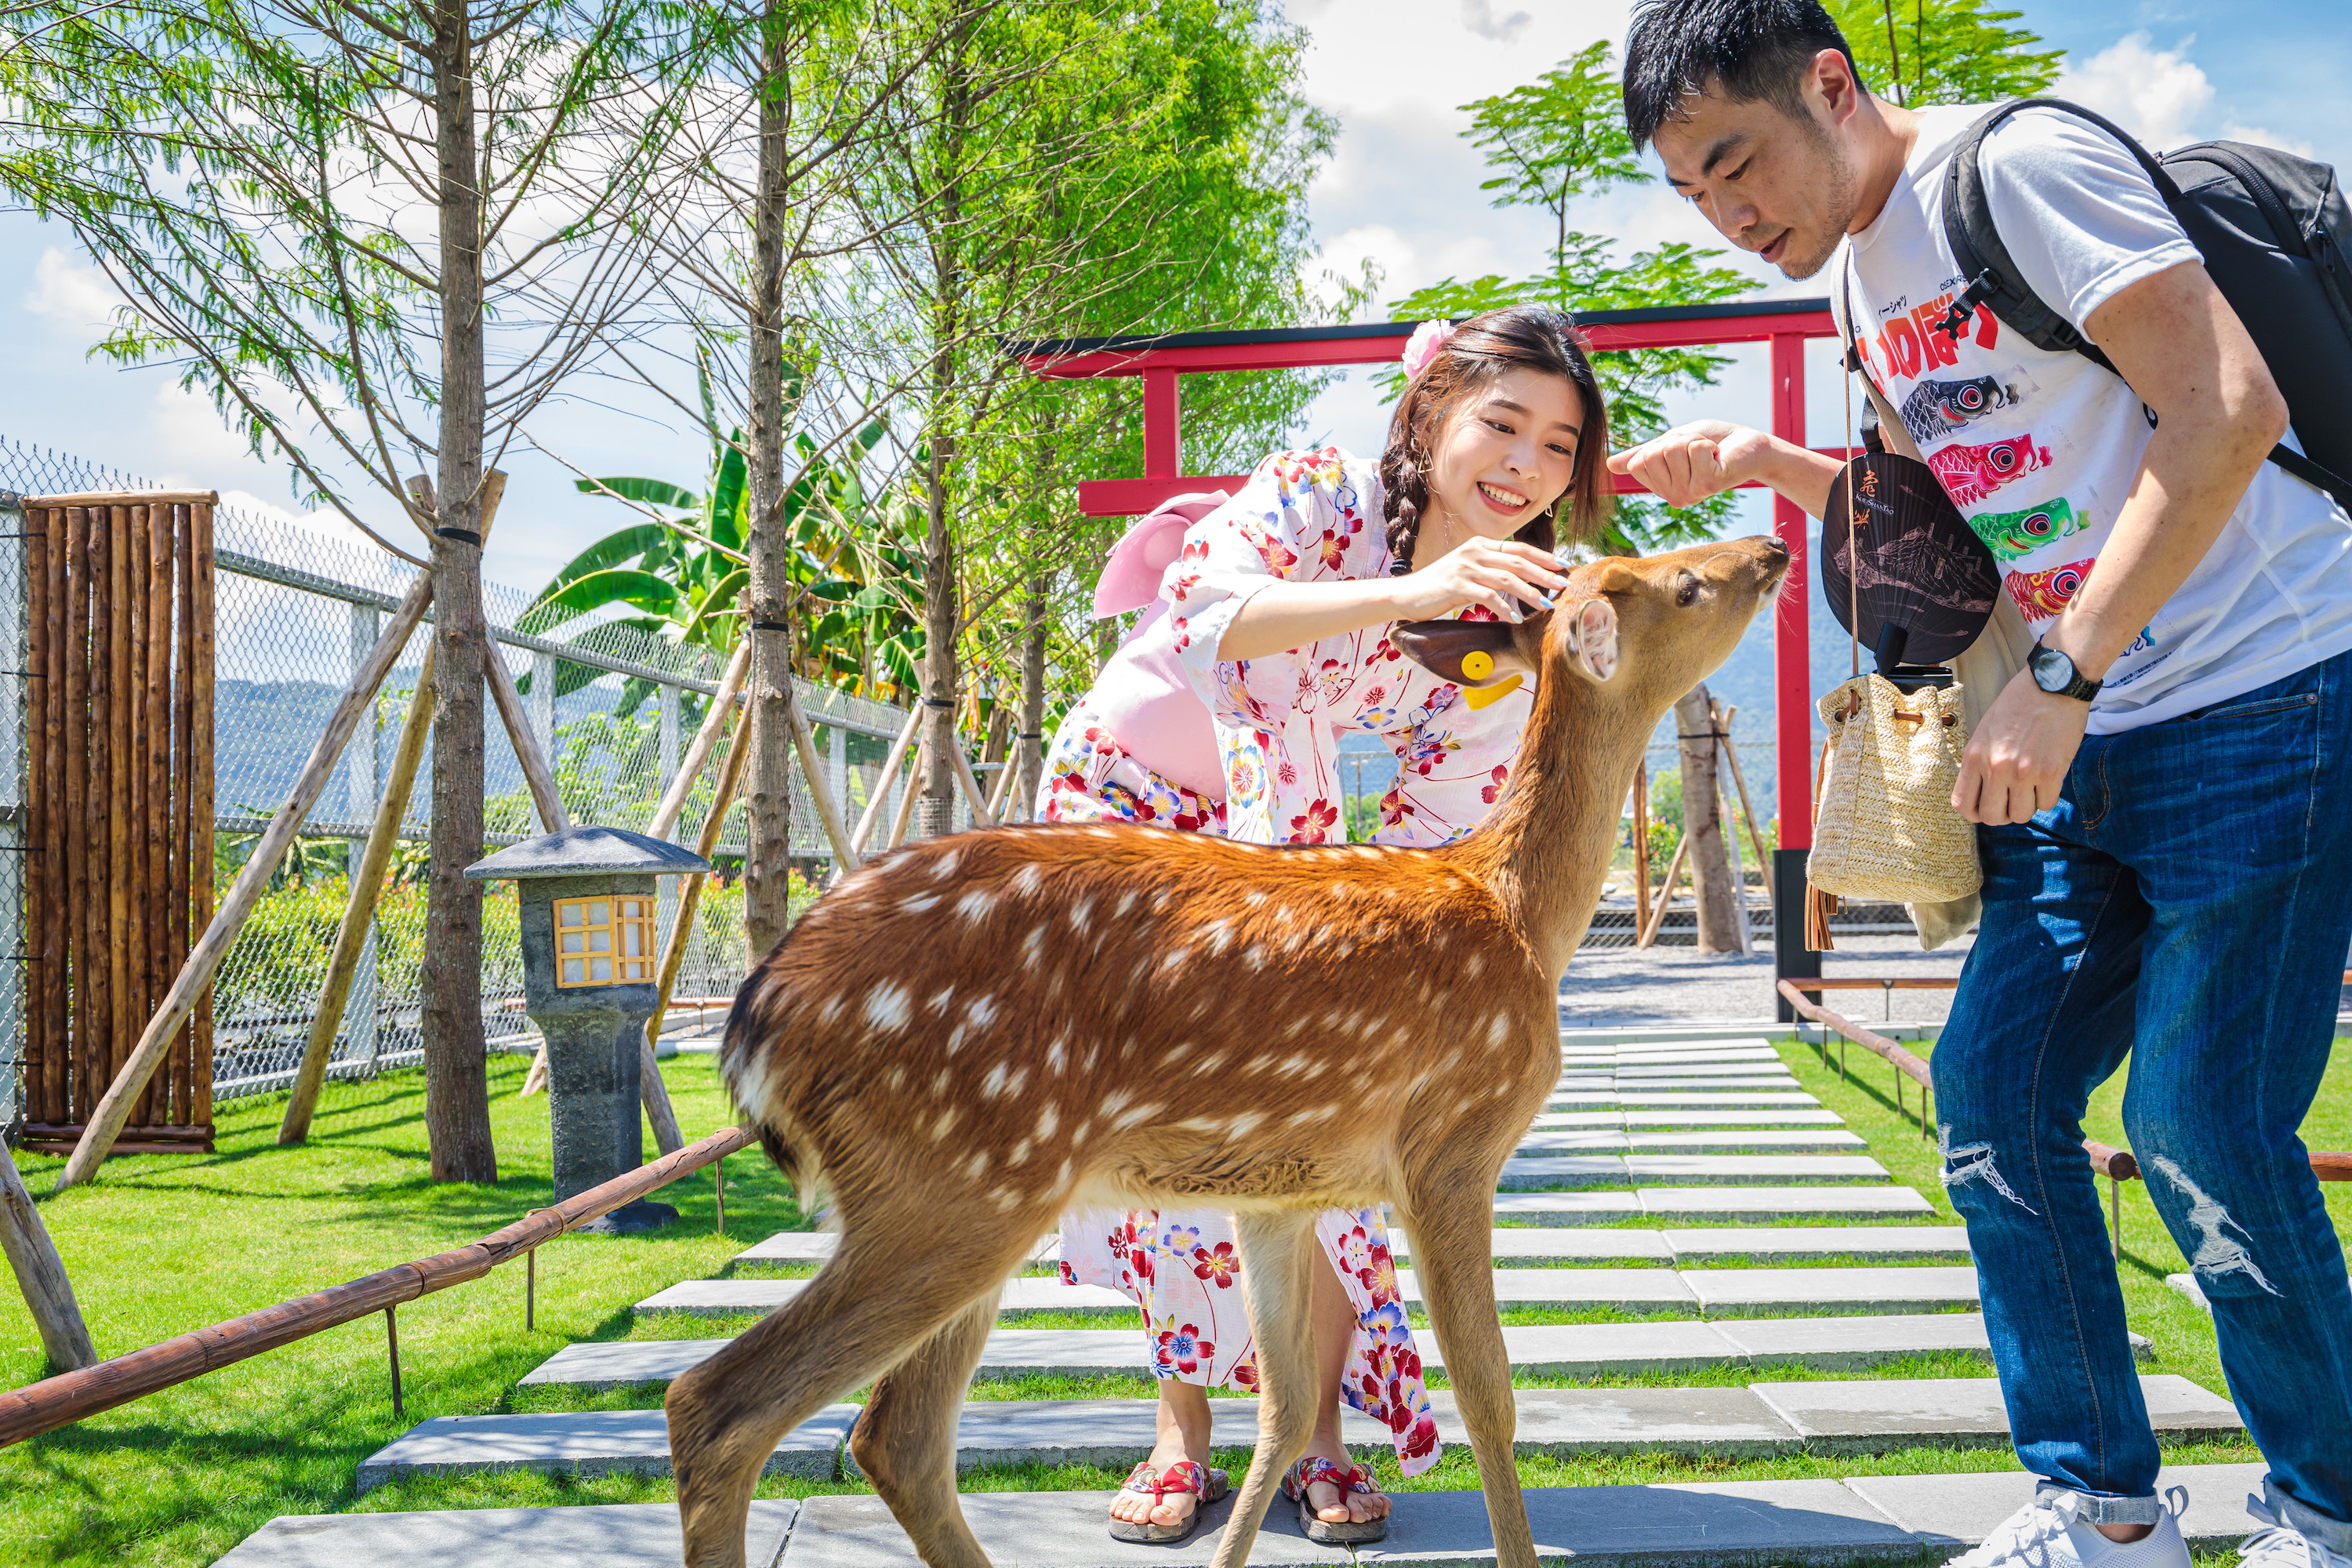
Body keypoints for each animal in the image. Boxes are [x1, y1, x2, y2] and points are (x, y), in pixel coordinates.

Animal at [668, 534, 1791, 1568]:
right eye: (1686, 584)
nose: (1774, 547)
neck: (1517, 913)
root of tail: (758, 1017)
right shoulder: (1452, 1143)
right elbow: (1489, 1393)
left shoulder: (1280, 1190)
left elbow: (1286, 1408)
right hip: (950, 1181)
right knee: (719, 1404)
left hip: (969, 1190)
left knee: (890, 1435)